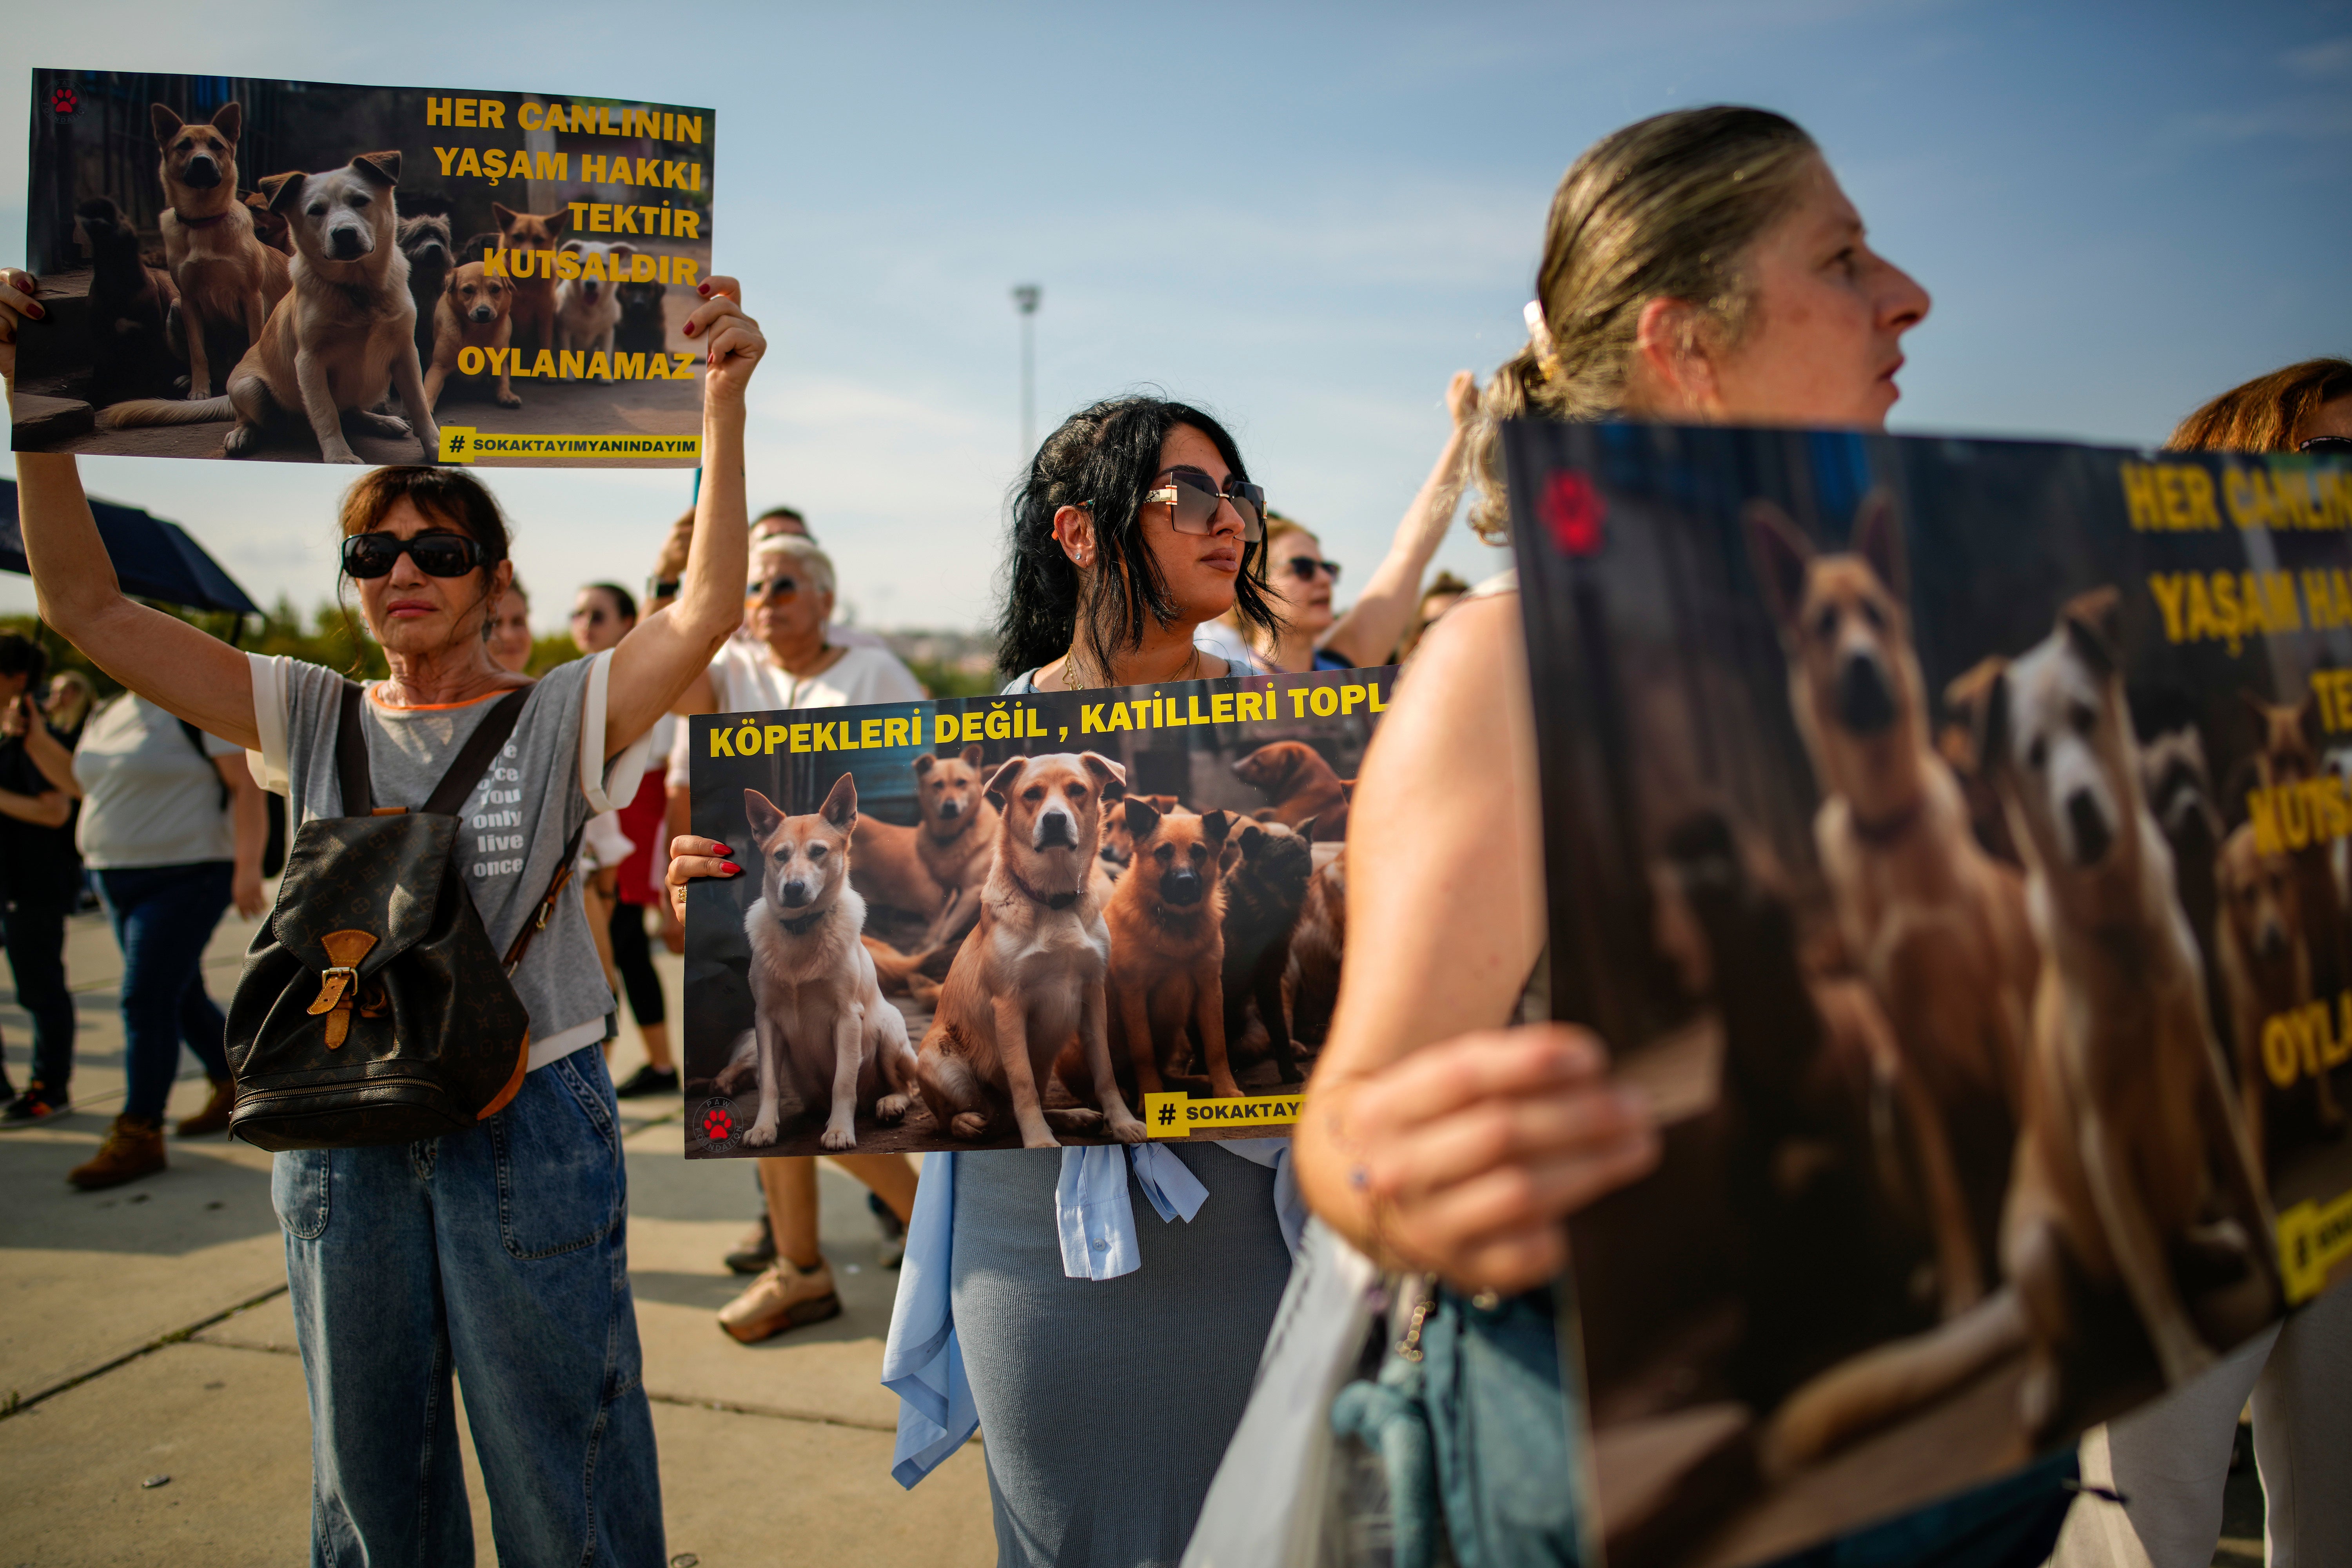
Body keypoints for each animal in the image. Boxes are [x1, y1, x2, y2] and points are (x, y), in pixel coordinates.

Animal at [147, 102, 289, 399]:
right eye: (184, 146)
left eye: (217, 146)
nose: (202, 161)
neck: (204, 222)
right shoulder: (188, 300)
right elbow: (197, 352)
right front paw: (199, 390)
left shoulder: (252, 297)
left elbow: (253, 341)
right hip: (174, 311)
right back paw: (188, 379)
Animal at [423, 261, 520, 414]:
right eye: (468, 290)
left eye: (496, 289)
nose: (483, 312)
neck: (477, 332)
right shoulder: (438, 367)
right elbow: (430, 388)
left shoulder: (501, 364)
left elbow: (503, 380)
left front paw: (507, 395)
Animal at [908, 752, 1148, 1147]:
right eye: (1032, 794)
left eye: (1077, 790)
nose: (1055, 819)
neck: (1053, 899)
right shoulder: (1008, 1004)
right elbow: (1023, 1086)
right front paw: (1038, 1140)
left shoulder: (1092, 995)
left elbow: (1106, 1073)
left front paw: (1122, 1121)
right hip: (938, 1061)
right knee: (955, 1118)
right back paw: (970, 1123)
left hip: (1043, 1060)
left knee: (1014, 1110)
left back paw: (1073, 1116)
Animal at [1101, 804, 1242, 1100]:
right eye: (1164, 852)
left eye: (1199, 852)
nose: (1186, 882)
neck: (1176, 920)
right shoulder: (1134, 996)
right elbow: (1143, 1054)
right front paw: (1150, 1097)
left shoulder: (1210, 990)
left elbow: (1217, 1048)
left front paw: (1226, 1090)